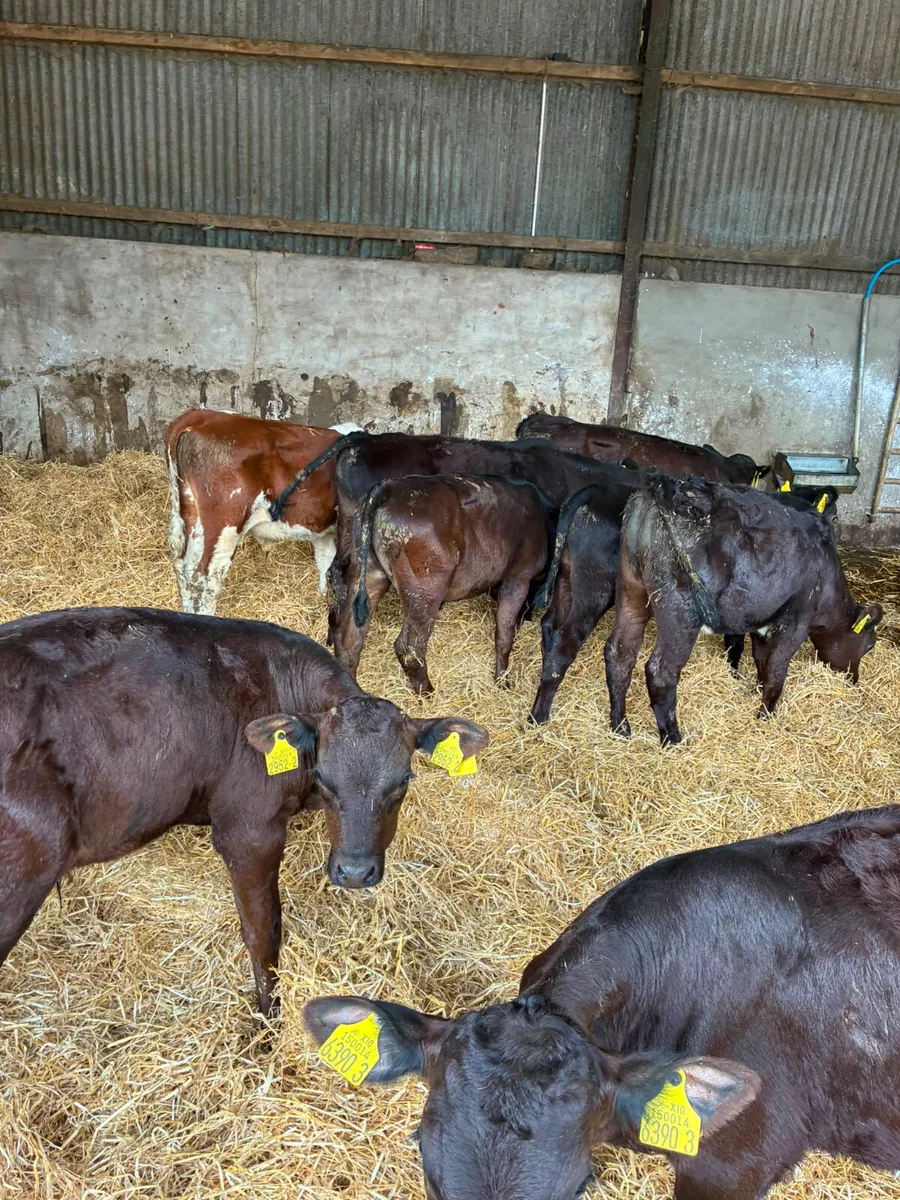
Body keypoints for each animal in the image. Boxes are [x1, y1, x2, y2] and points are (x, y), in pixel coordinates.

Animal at [0, 607, 487, 1016]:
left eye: (403, 780)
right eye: (324, 778)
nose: (354, 872)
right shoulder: (249, 831)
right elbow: (263, 932)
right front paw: (269, 1019)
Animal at [164, 409, 361, 615]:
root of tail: (201, 416)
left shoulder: (320, 527)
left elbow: (325, 557)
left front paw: (321, 596)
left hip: (190, 518)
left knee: (183, 569)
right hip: (224, 527)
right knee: (204, 578)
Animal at [337, 475, 553, 693]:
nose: (527, 617)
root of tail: (390, 486)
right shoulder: (518, 578)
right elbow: (505, 633)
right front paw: (503, 683)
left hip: (370, 573)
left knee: (350, 643)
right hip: (426, 589)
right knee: (409, 648)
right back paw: (428, 692)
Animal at [604, 476, 881, 744]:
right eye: (869, 646)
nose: (854, 680)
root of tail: (664, 485)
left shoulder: (763, 621)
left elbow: (762, 660)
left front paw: (757, 691)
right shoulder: (796, 623)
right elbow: (777, 669)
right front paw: (766, 715)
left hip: (631, 593)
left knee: (619, 654)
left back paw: (620, 727)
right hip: (681, 612)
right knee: (661, 671)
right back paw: (673, 738)